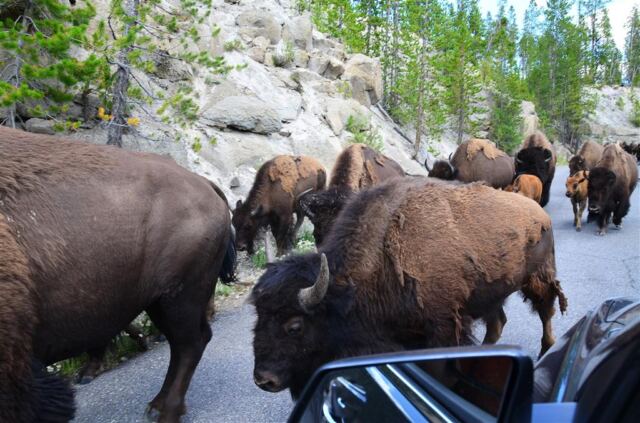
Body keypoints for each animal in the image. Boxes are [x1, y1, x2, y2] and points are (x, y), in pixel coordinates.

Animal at [0, 127, 235, 423]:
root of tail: (203, 182)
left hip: (178, 298)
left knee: (190, 343)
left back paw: (166, 411)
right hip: (158, 301)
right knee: (182, 344)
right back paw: (156, 404)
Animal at [251, 177, 567, 398]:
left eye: (295, 326)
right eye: (257, 319)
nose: (263, 379)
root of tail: (539, 212)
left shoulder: (443, 326)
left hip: (538, 279)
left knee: (546, 311)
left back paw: (545, 349)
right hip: (491, 293)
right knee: (498, 322)